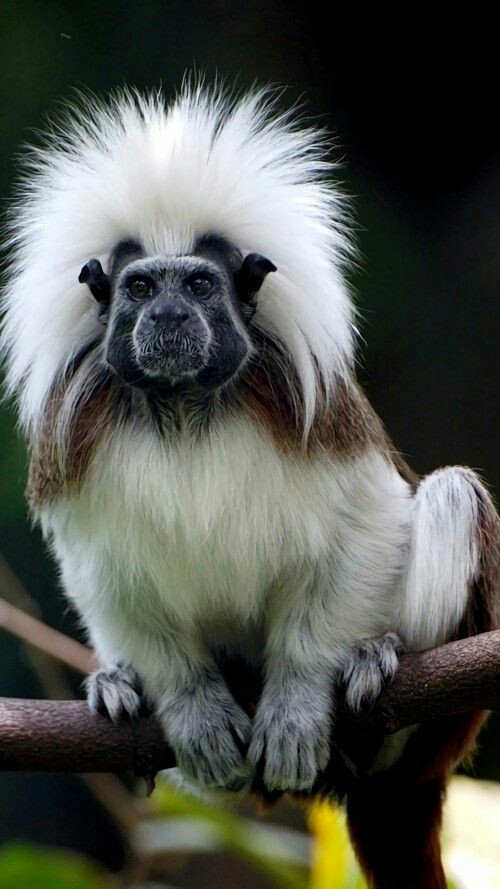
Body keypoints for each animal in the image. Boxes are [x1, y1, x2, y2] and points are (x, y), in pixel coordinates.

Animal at [1, 85, 498, 889]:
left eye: (201, 285)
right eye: (141, 287)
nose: (170, 315)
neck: (185, 409)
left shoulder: (315, 413)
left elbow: (366, 521)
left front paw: (298, 697)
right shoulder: (75, 446)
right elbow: (103, 572)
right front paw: (188, 704)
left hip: (443, 731)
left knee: (453, 493)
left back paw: (381, 671)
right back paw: (119, 685)